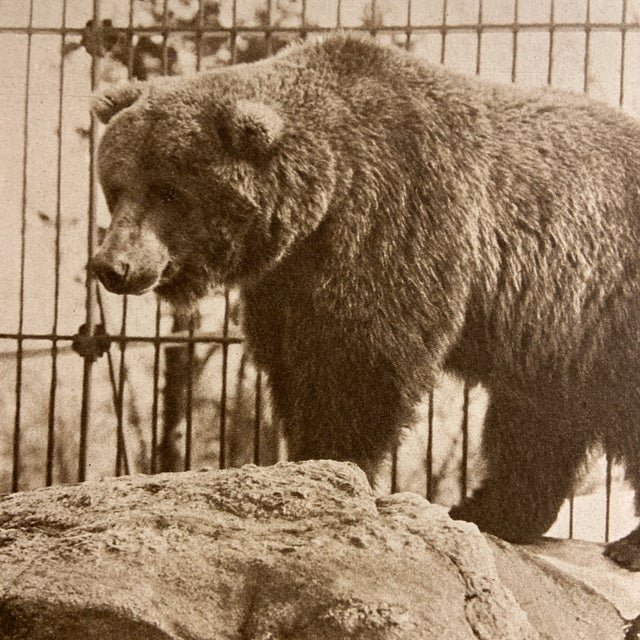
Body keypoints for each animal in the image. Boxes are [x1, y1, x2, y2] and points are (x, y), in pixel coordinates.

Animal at [91, 34, 640, 570]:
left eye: (168, 192)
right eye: (116, 187)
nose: (113, 266)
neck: (321, 203)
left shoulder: (395, 218)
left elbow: (362, 360)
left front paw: (335, 469)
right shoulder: (286, 283)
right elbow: (294, 365)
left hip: (612, 303)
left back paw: (622, 544)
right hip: (563, 335)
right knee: (537, 423)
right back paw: (488, 510)